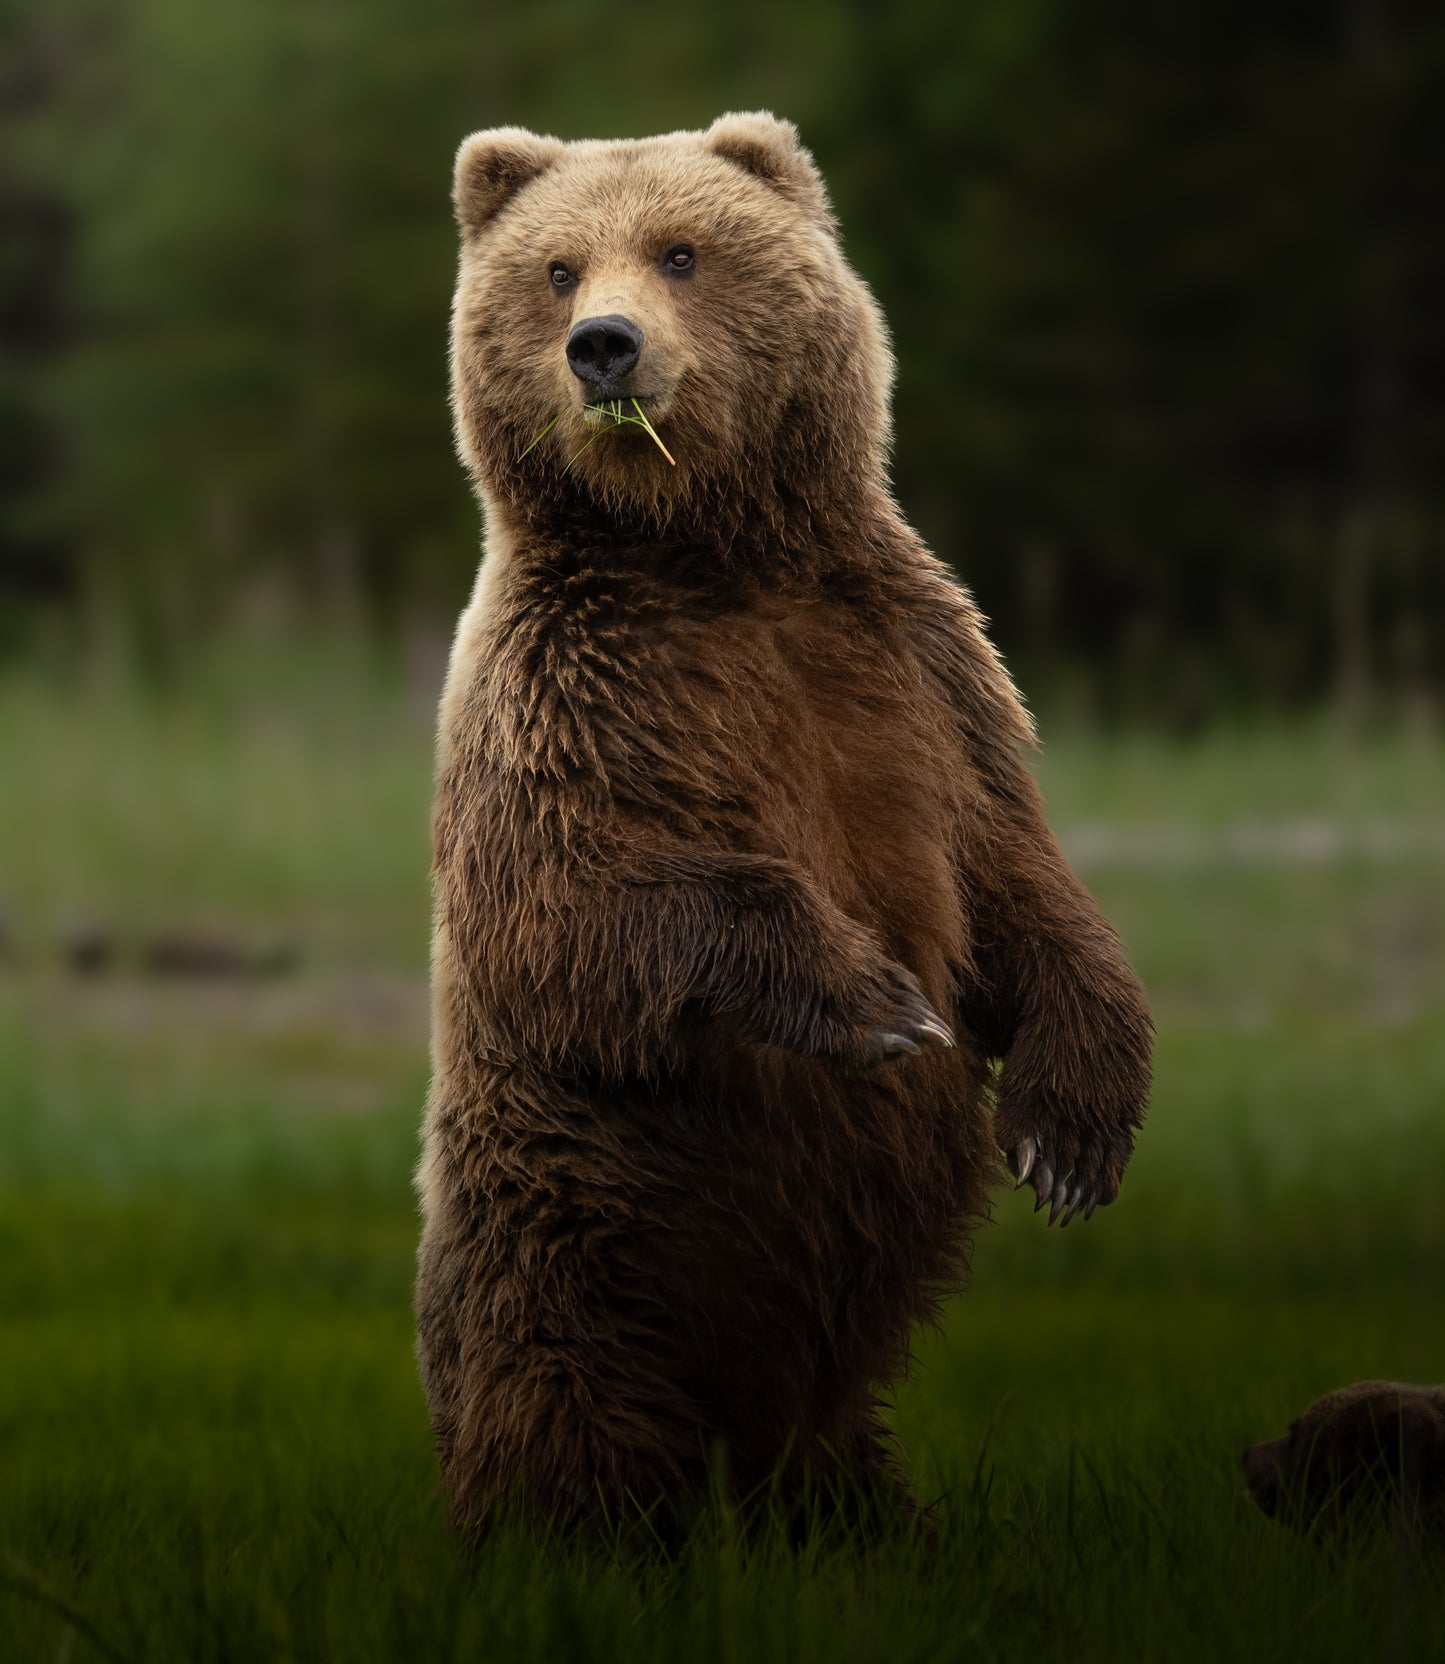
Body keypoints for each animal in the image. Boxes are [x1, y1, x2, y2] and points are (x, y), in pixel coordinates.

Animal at [415, 111, 1152, 1537]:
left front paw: (1069, 1138)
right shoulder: (559, 699)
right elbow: (567, 910)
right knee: (566, 1407)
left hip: (801, 1352)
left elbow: (1014, 876)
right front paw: (876, 1000)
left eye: (680, 250)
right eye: (555, 268)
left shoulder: (915, 672)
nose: (605, 346)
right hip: (572, 1234)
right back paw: (575, 1530)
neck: (710, 557)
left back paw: (884, 1526)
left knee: (828, 1433)